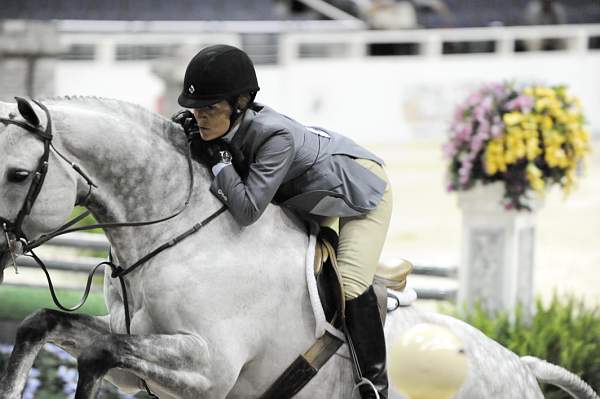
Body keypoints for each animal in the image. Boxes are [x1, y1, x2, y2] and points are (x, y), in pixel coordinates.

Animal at [0, 97, 596, 399]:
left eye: (19, 174)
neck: (176, 237)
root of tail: (522, 367)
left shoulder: (210, 368)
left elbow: (99, 353)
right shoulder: (140, 362)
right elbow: (45, 325)